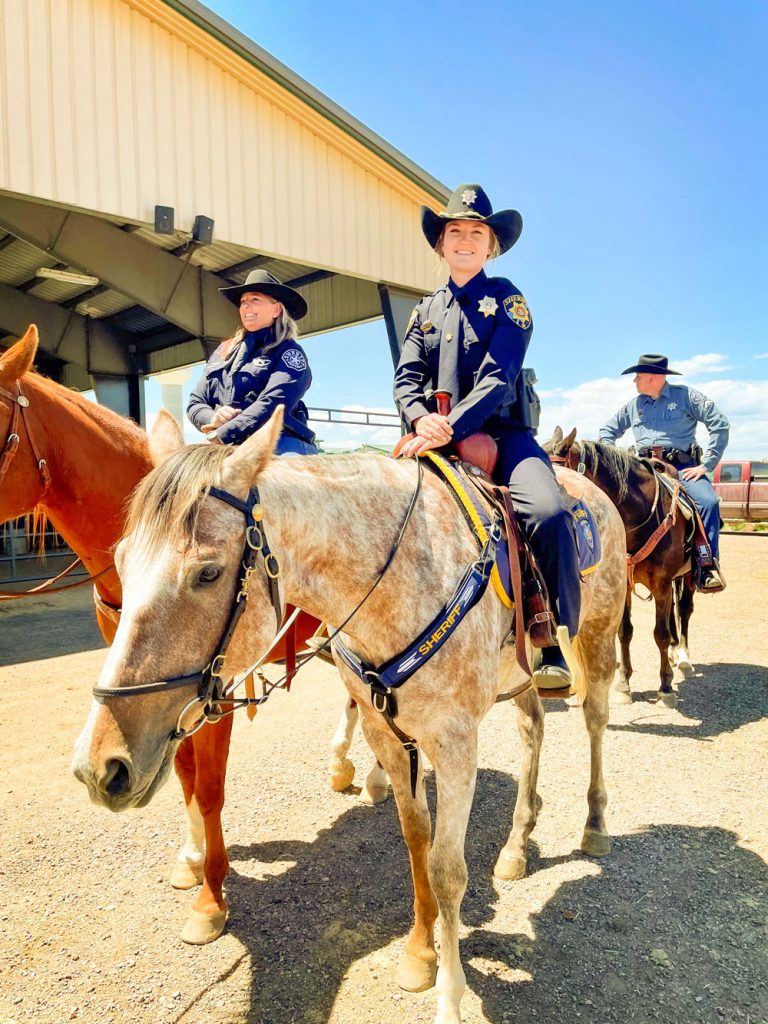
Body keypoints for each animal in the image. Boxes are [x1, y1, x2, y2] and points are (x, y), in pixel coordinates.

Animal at [0, 327, 335, 937]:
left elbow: (208, 787)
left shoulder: (212, 691)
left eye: (207, 573)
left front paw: (211, 898)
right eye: (122, 558)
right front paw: (191, 859)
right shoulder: (155, 700)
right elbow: (179, 772)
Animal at [70, 407, 626, 1024]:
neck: (406, 571)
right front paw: (419, 953)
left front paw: (450, 998)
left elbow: (447, 869)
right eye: (121, 562)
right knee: (533, 729)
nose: (100, 766)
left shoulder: (456, 743)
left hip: (597, 635)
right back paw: (515, 845)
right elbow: (416, 841)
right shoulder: (387, 732)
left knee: (595, 721)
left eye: (208, 573)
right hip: (520, 672)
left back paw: (594, 825)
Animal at [548, 428, 696, 708]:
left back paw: (682, 655)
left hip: (688, 576)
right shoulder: (625, 584)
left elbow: (659, 634)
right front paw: (624, 684)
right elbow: (624, 632)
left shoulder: (661, 582)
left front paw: (665, 687)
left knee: (684, 610)